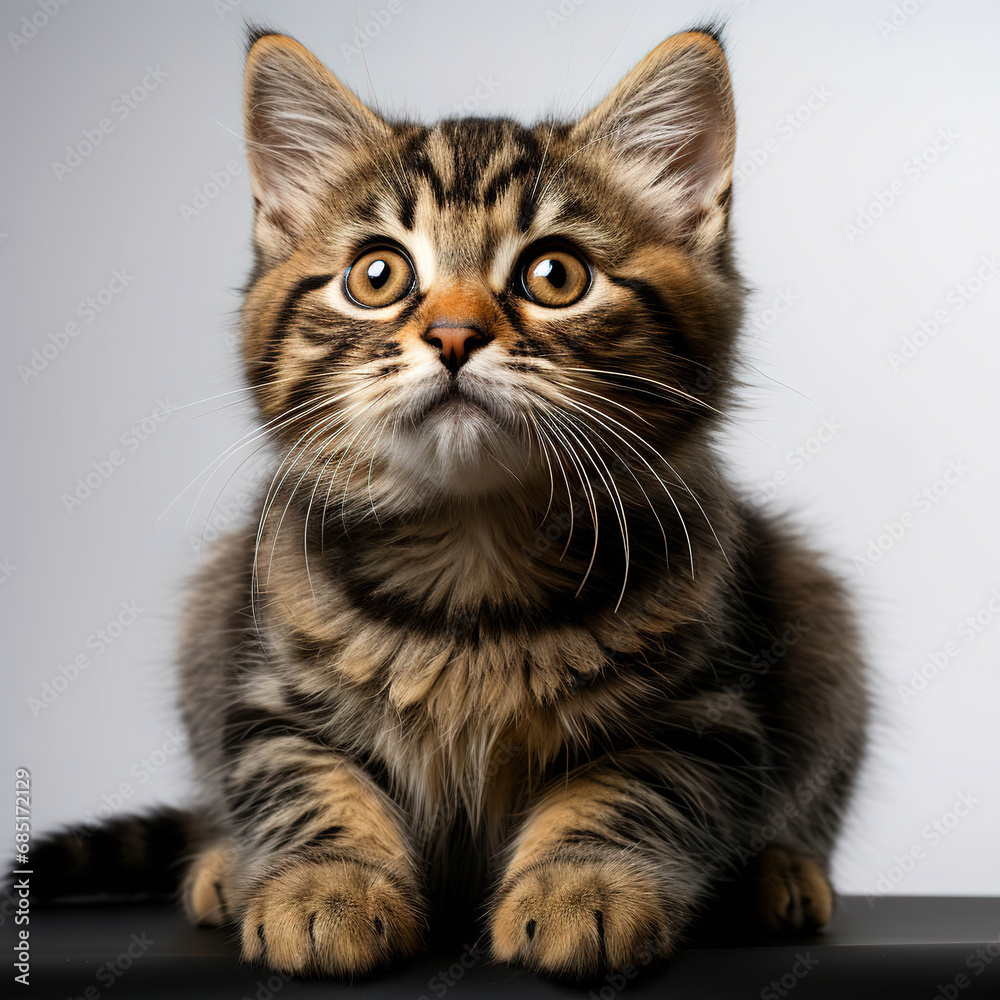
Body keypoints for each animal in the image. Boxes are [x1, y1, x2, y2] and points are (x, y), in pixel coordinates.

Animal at [35, 27, 868, 980]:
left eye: (555, 274)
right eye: (377, 275)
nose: (454, 334)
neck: (474, 552)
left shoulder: (703, 710)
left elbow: (629, 789)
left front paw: (583, 886)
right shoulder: (265, 688)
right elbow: (303, 779)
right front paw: (327, 885)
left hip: (816, 610)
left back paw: (780, 871)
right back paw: (221, 865)